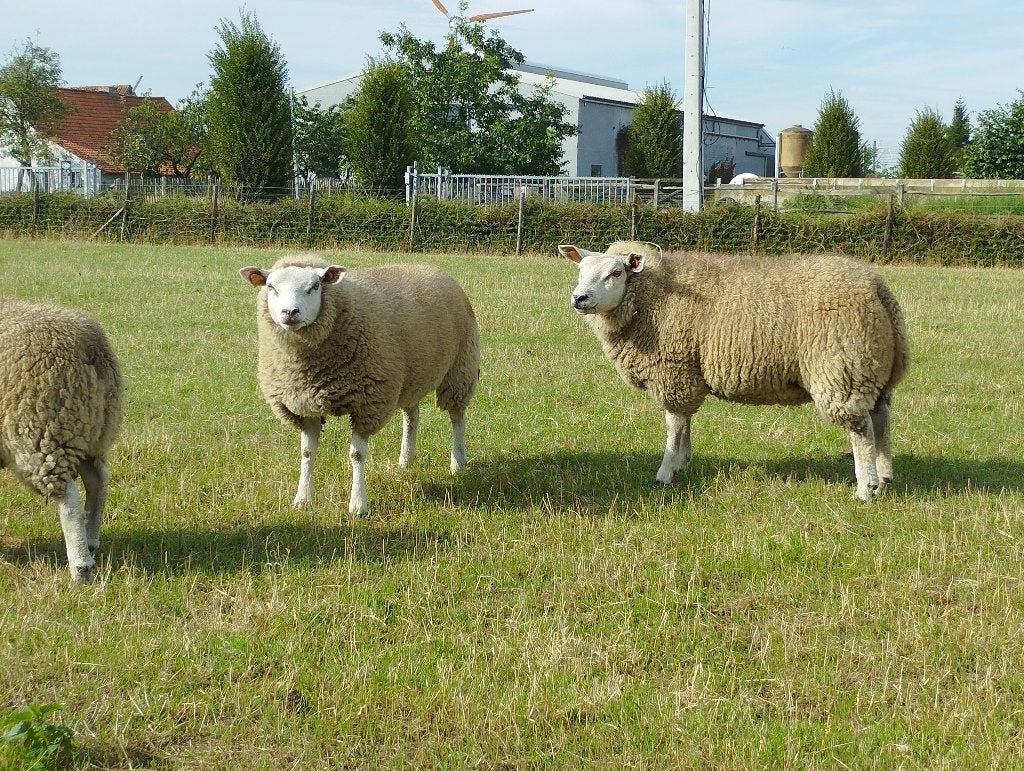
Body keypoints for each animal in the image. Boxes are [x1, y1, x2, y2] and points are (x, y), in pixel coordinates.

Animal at [0, 298, 123, 581]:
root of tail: (89, 342)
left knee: (69, 499)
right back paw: (91, 541)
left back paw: (81, 567)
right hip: (89, 430)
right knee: (98, 480)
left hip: (44, 434)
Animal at [239, 255, 480, 516]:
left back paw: (457, 463)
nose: (290, 312)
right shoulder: (304, 405)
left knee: (457, 417)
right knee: (412, 415)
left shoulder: (368, 403)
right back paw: (406, 459)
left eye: (315, 286)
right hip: (410, 377)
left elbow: (356, 455)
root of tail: (432, 267)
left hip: (460, 368)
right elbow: (307, 452)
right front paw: (302, 499)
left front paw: (358, 504)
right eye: (271, 286)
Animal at [558, 241, 910, 501]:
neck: (652, 298)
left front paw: (665, 472)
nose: (579, 298)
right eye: (580, 270)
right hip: (874, 369)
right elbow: (685, 423)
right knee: (881, 420)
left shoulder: (674, 371)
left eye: (616, 272)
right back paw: (885, 477)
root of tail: (876, 287)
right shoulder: (688, 373)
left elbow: (673, 425)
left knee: (861, 429)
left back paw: (865, 489)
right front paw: (683, 462)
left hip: (842, 368)